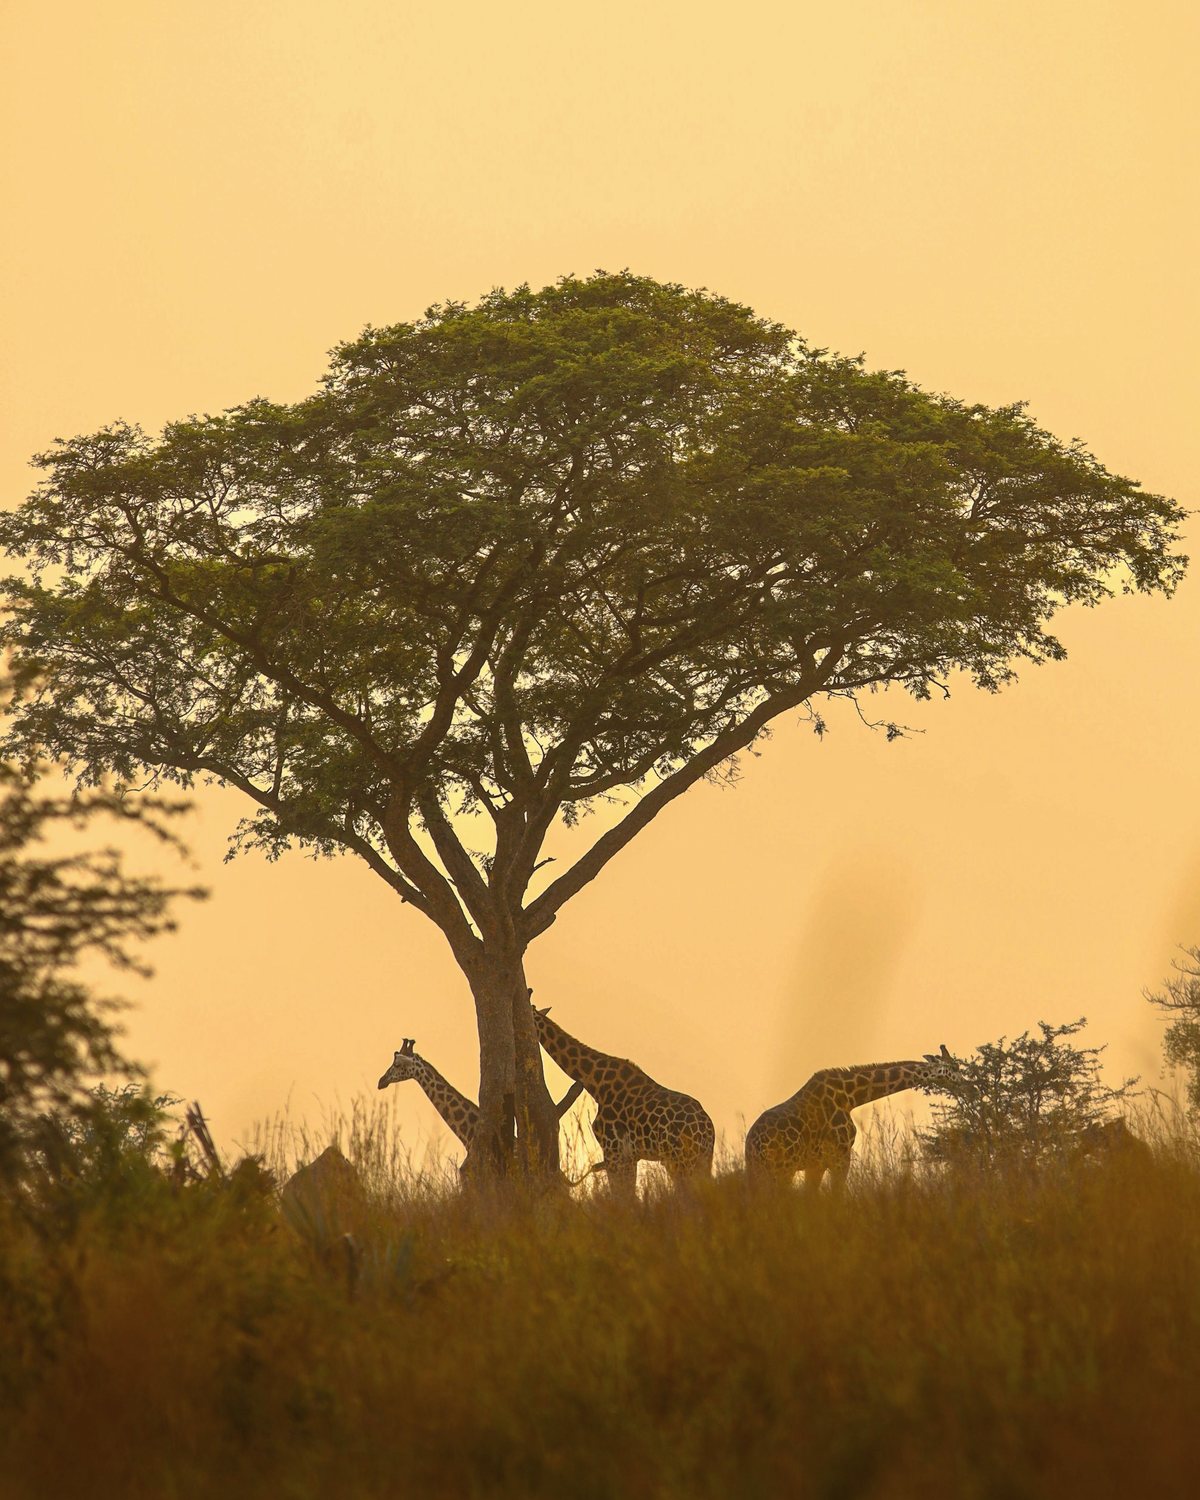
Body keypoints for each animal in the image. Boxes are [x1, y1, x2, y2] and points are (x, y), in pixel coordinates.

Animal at [532, 1002, 715, 1198]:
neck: (596, 1082)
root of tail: (707, 1130)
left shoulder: (613, 1151)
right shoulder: (630, 1156)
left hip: (681, 1159)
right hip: (700, 1158)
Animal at [745, 1045, 959, 1190]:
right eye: (955, 1067)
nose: (965, 1083)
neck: (850, 1096)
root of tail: (753, 1143)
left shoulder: (816, 1164)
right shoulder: (839, 1157)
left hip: (759, 1169)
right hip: (781, 1168)